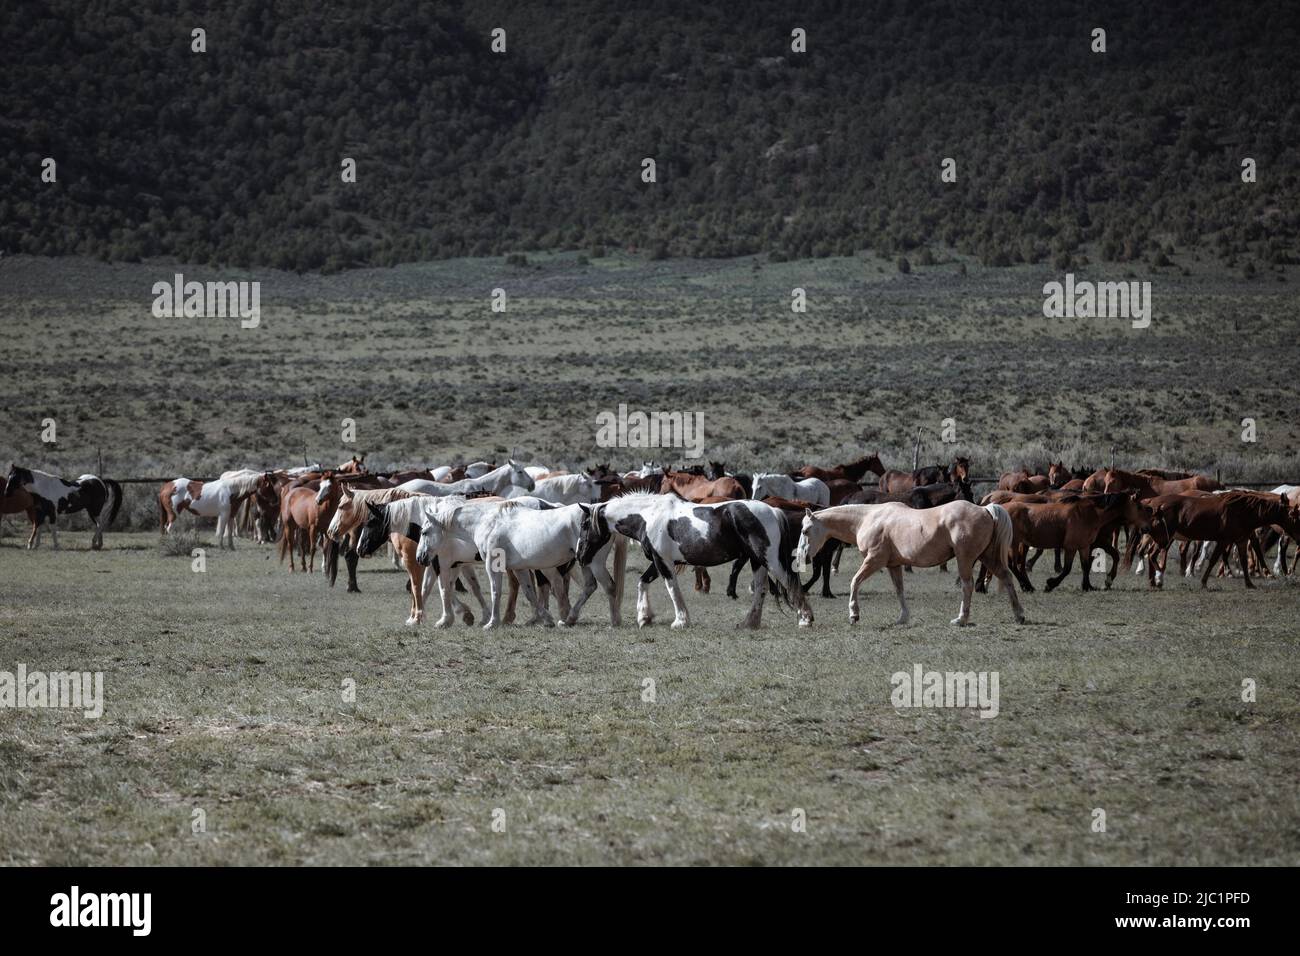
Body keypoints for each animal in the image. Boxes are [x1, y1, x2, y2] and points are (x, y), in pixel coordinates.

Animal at [577, 491, 812, 629]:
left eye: (585, 524)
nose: (580, 555)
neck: (648, 515)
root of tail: (773, 510)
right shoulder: (658, 561)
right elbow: (642, 582)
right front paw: (644, 617)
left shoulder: (663, 562)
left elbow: (672, 589)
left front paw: (680, 620)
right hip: (758, 561)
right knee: (761, 591)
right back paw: (749, 623)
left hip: (770, 560)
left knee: (791, 583)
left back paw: (805, 619)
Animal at [795, 501, 1024, 627]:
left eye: (805, 531)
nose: (802, 558)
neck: (867, 518)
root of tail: (985, 509)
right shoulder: (893, 565)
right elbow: (899, 590)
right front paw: (902, 618)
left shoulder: (874, 560)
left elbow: (855, 582)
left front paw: (854, 614)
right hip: (988, 557)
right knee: (1007, 578)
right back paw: (1019, 615)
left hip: (965, 559)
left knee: (967, 586)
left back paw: (961, 619)